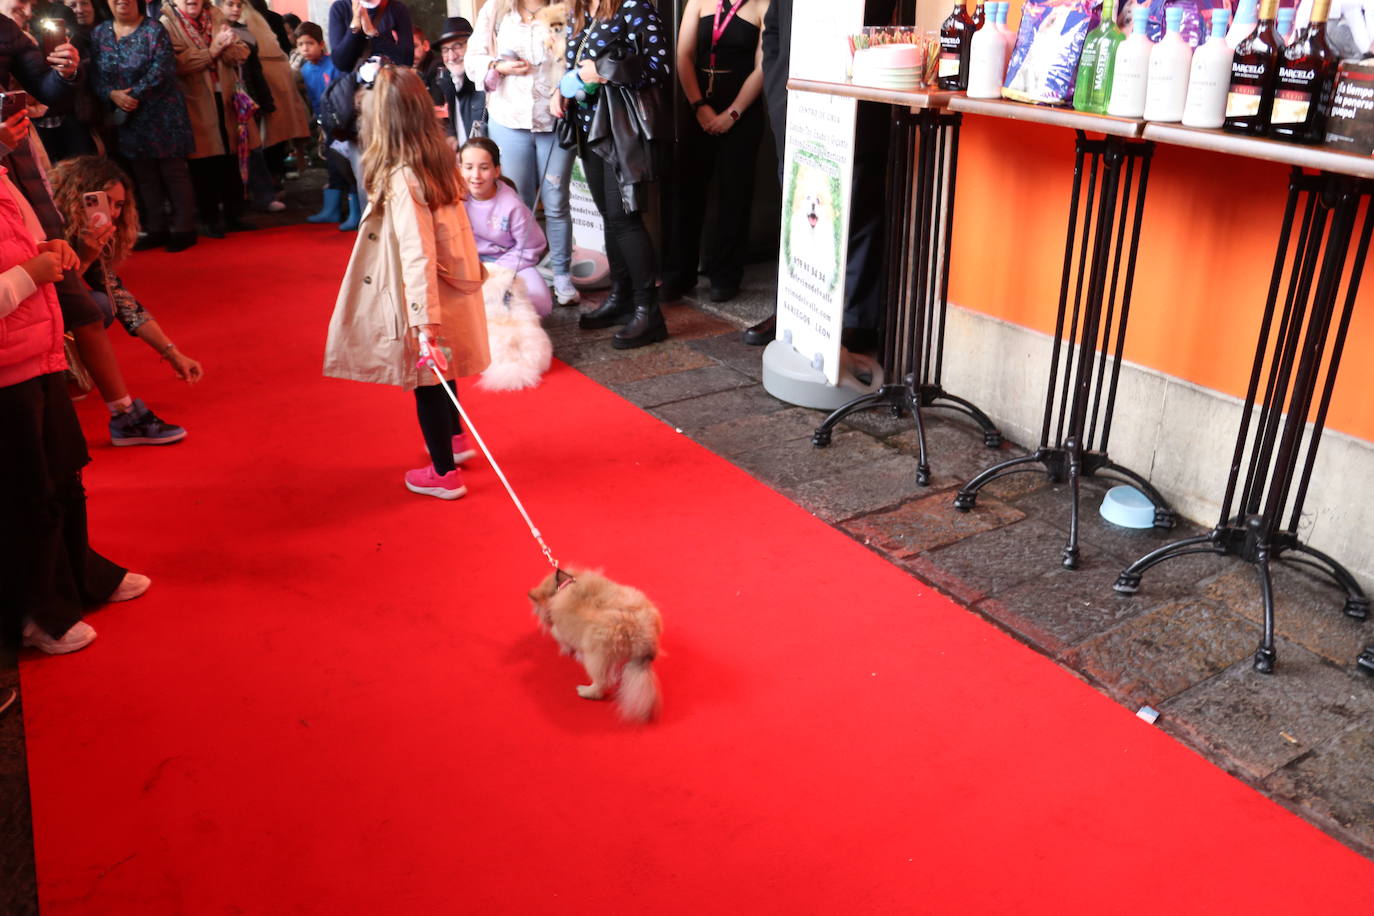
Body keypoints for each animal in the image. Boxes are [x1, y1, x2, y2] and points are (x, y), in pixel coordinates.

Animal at [527, 565, 662, 725]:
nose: (541, 617)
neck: (563, 585)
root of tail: (640, 632)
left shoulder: (561, 631)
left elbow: (562, 639)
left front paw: (569, 651)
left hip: (595, 659)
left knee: (601, 684)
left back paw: (585, 691)